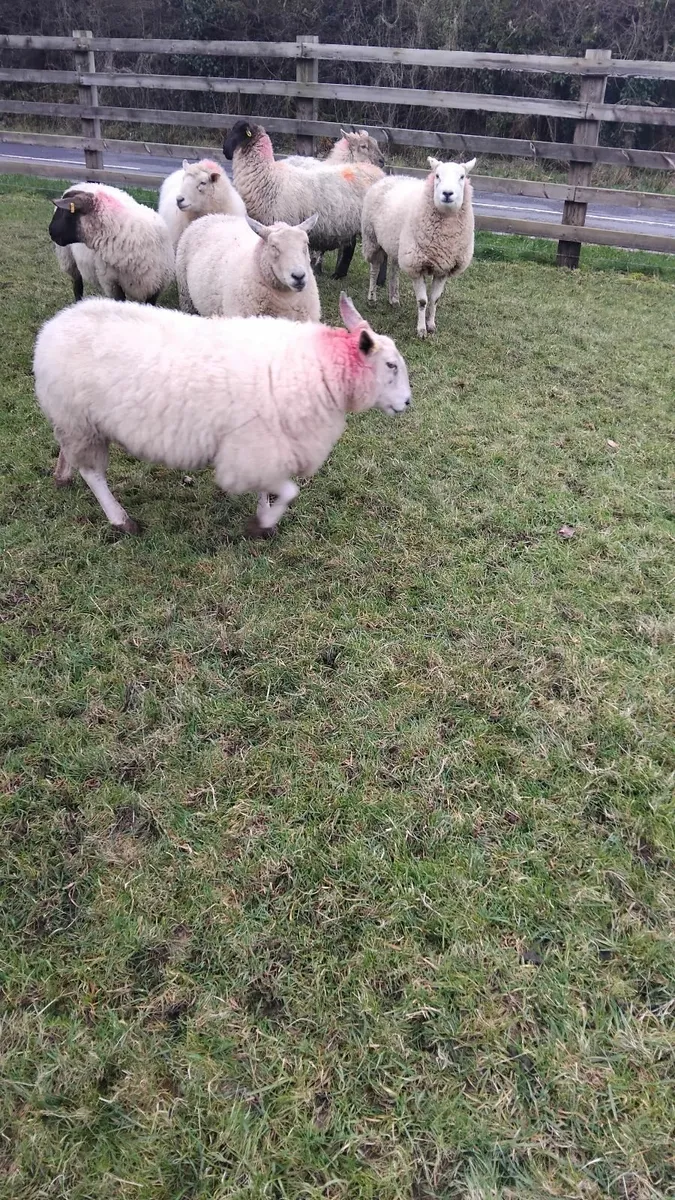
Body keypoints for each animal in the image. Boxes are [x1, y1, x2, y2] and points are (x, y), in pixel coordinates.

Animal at [33, 294, 411, 538]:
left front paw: (263, 516)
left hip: (74, 419)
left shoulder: (266, 448)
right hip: (79, 421)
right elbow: (289, 491)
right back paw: (121, 520)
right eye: (391, 365)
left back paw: (62, 478)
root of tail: (52, 328)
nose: (407, 403)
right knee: (94, 474)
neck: (322, 367)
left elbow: (269, 490)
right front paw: (262, 525)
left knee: (69, 453)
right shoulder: (252, 450)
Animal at [176, 212, 321, 322]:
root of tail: (209, 216)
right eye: (273, 246)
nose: (299, 276)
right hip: (186, 296)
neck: (285, 299)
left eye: (306, 243)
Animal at [362, 156, 477, 338]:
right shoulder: (416, 265)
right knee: (374, 268)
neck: (444, 238)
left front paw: (431, 325)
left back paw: (394, 298)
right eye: (437, 175)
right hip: (372, 239)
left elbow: (435, 299)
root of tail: (391, 176)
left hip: (397, 246)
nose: (447, 193)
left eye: (462, 177)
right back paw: (372, 298)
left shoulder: (444, 268)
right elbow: (423, 301)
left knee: (394, 269)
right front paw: (421, 330)